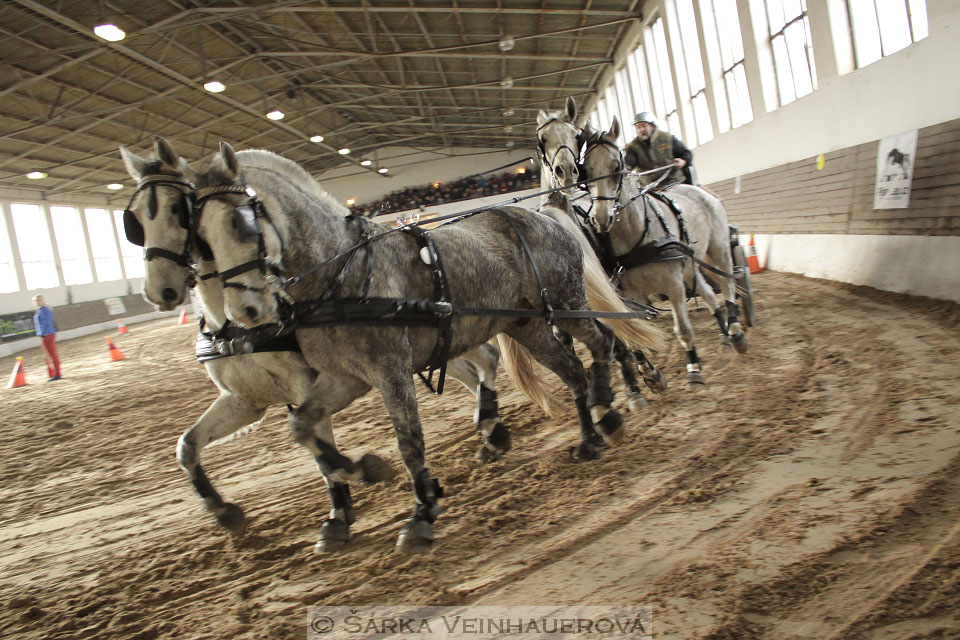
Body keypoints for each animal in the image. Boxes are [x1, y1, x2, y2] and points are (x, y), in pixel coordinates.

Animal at [123, 139, 512, 540]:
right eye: (134, 220)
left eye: (179, 210)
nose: (161, 291)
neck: (236, 330)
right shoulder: (245, 400)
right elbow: (187, 446)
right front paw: (224, 510)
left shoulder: (308, 385)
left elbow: (320, 453)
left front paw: (350, 497)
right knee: (476, 364)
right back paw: (490, 428)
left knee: (484, 360)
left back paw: (489, 426)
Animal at [191, 142, 664, 552]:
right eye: (200, 237)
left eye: (239, 222)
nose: (246, 310)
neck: (339, 273)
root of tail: (543, 214)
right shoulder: (344, 377)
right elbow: (302, 426)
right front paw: (364, 473)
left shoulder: (390, 370)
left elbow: (409, 442)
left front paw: (421, 514)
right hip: (527, 325)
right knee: (571, 369)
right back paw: (588, 438)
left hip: (566, 304)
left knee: (604, 342)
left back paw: (608, 410)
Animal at [536, 100, 748, 384]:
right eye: (543, 138)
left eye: (576, 137)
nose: (566, 172)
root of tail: (697, 190)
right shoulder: (626, 292)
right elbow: (626, 332)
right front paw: (646, 373)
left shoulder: (672, 284)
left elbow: (681, 328)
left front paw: (691, 368)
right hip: (691, 263)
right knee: (708, 293)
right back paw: (724, 334)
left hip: (718, 248)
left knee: (727, 283)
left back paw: (735, 331)